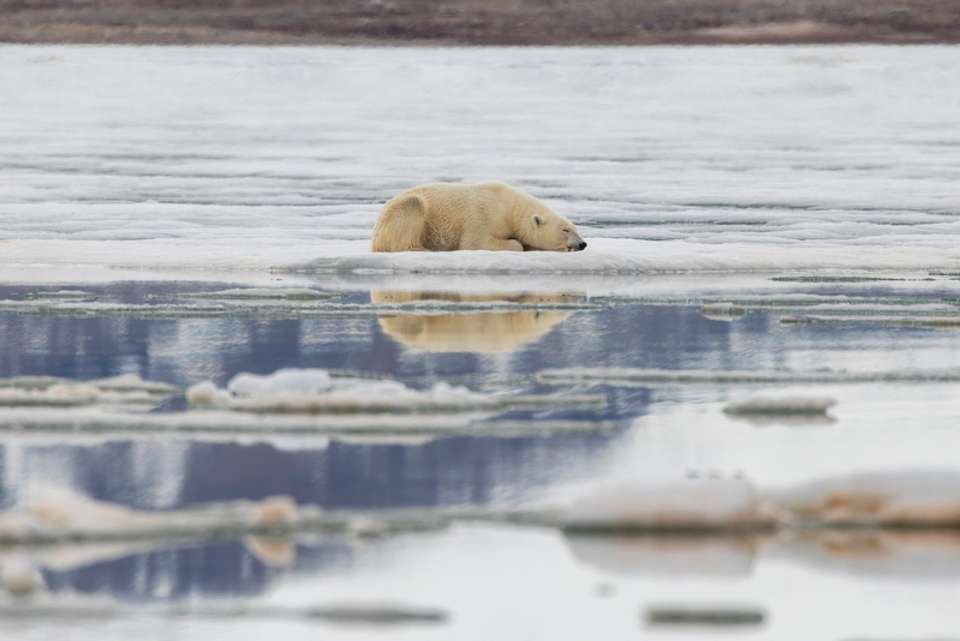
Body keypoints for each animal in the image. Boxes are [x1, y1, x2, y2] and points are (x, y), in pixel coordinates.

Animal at [371, 181, 587, 253]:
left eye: (576, 228)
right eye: (565, 229)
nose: (582, 243)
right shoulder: (481, 216)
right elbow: (475, 242)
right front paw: (518, 243)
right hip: (404, 212)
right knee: (412, 207)